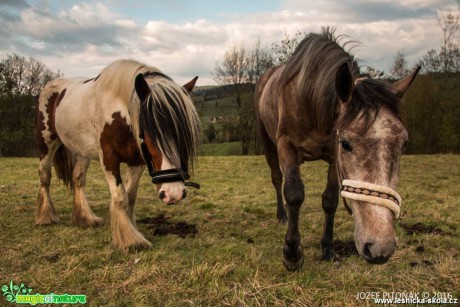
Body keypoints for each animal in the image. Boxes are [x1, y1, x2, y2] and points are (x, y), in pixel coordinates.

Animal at [35, 60, 200, 250]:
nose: (174, 193)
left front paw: (132, 229)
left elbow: (131, 196)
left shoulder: (137, 161)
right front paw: (131, 240)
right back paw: (46, 216)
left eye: (183, 134)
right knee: (45, 176)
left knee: (78, 178)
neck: (118, 114)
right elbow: (120, 196)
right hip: (46, 144)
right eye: (150, 132)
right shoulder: (109, 159)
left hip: (82, 152)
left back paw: (85, 218)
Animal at [256, 30, 418, 270]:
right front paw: (292, 253)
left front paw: (328, 249)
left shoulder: (334, 159)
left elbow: (330, 200)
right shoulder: (287, 145)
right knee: (277, 179)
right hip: (268, 143)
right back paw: (282, 215)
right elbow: (294, 193)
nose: (380, 247)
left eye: (404, 143)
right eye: (346, 143)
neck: (310, 98)